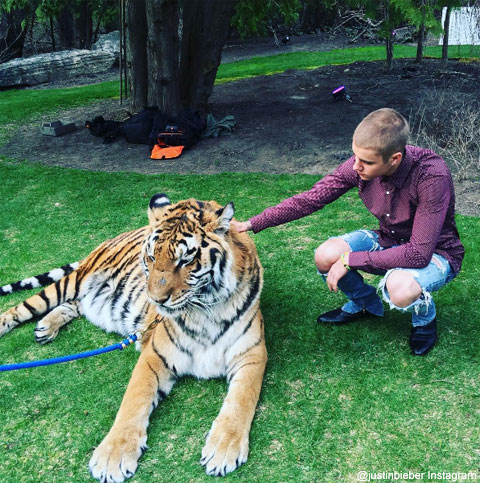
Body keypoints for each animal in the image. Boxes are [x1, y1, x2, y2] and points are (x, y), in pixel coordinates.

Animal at [0, 195, 266, 482]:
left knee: (74, 305)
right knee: (22, 308)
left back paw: (46, 327)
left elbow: (240, 401)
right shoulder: (154, 355)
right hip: (72, 282)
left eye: (186, 259)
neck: (204, 310)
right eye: (151, 257)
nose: (156, 300)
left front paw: (223, 449)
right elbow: (134, 401)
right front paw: (112, 457)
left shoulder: (252, 354)